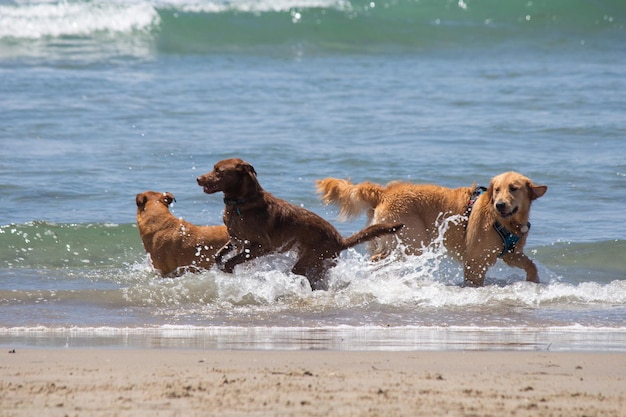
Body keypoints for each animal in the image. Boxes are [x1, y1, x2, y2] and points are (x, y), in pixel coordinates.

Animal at [193, 157, 402, 290]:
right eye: (213, 168)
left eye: (218, 171)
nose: (198, 178)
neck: (241, 203)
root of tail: (341, 241)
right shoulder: (236, 238)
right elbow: (219, 255)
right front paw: (220, 265)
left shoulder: (262, 245)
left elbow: (232, 260)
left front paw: (229, 271)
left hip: (309, 259)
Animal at [314, 170, 544, 286]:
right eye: (497, 189)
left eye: (513, 188)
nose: (500, 205)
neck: (503, 222)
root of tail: (384, 192)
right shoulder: (475, 262)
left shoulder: (510, 254)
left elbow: (531, 264)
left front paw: (534, 282)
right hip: (411, 242)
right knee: (377, 259)